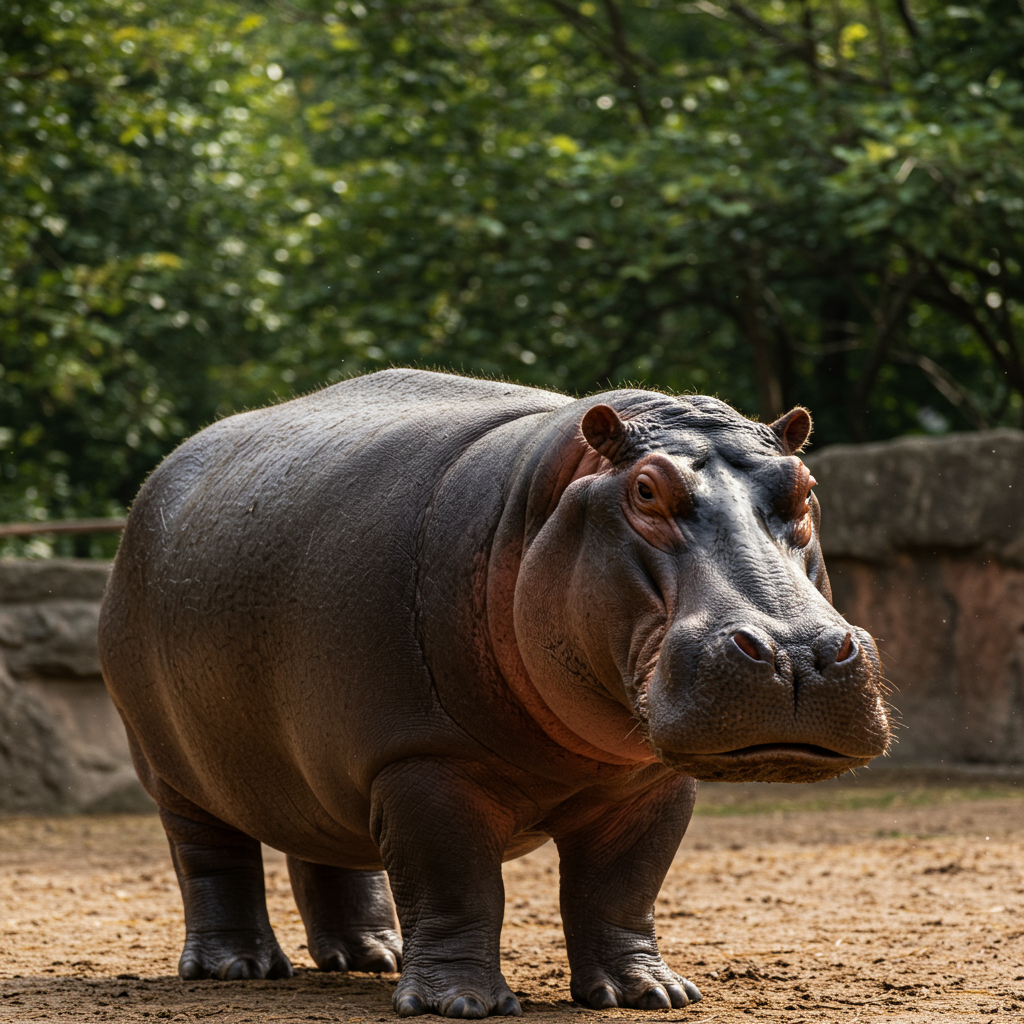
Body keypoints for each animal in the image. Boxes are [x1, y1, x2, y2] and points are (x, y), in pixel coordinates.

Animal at [99, 369, 889, 1018]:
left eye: (805, 489)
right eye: (644, 490)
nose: (796, 654)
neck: (543, 499)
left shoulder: (648, 780)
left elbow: (624, 885)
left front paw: (649, 993)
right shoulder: (421, 762)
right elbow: (455, 882)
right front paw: (461, 1005)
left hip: (320, 755)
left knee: (324, 843)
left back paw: (370, 957)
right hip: (174, 765)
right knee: (210, 855)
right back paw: (237, 967)